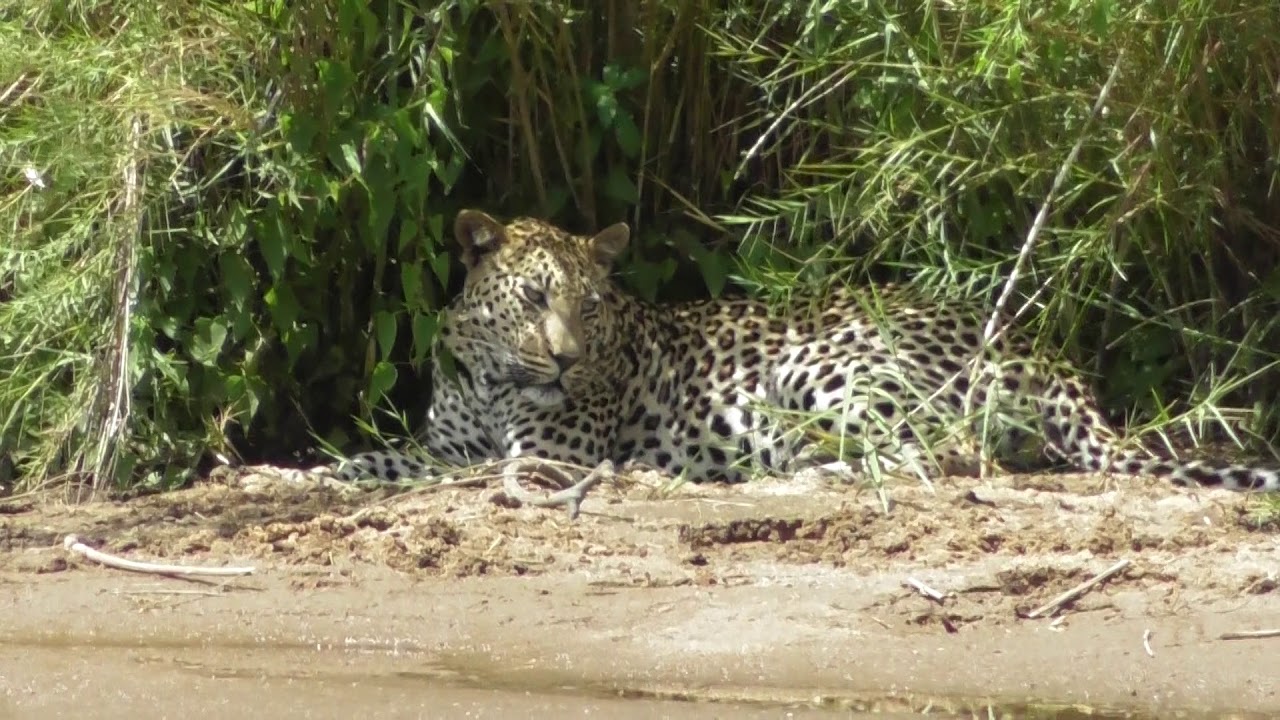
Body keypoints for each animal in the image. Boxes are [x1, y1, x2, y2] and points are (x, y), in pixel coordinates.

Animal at [328, 209, 1279, 492]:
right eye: (534, 301)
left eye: (590, 310)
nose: (563, 361)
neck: (493, 383)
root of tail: (1030, 345)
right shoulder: (453, 436)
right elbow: (398, 458)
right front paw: (332, 473)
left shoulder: (551, 454)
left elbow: (473, 470)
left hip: (825, 367)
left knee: (942, 454)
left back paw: (802, 476)